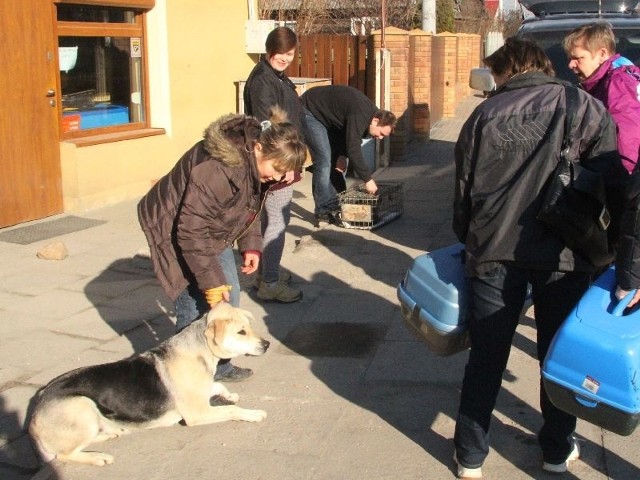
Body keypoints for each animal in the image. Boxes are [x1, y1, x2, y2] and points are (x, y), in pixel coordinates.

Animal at [28, 304, 268, 464]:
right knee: (64, 454)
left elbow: (218, 387)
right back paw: (98, 458)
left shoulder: (201, 396)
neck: (200, 350)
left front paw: (229, 395)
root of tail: (34, 415)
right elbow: (232, 410)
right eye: (241, 332)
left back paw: (111, 433)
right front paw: (253, 413)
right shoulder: (197, 413)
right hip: (82, 405)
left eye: (249, 327)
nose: (266, 344)